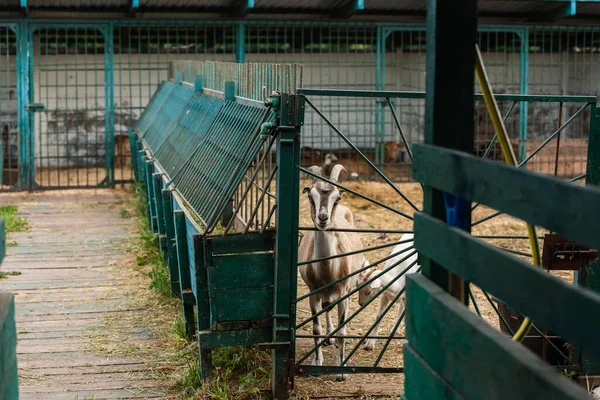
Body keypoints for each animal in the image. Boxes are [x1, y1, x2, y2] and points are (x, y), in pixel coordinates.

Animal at [298, 163, 364, 382]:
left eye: (337, 198)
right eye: (311, 197)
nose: (323, 218)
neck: (328, 271)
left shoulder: (343, 292)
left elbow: (342, 332)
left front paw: (341, 370)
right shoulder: (313, 292)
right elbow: (315, 328)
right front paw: (316, 362)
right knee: (327, 309)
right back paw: (328, 337)